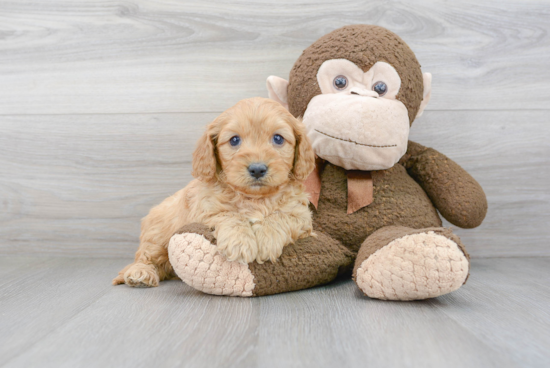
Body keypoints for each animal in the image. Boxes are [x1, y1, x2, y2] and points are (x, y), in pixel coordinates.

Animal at [113, 97, 314, 288]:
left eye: (278, 139)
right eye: (234, 140)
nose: (257, 169)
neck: (254, 198)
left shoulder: (302, 216)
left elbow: (282, 216)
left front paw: (267, 239)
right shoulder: (203, 210)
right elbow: (228, 215)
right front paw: (239, 242)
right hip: (157, 236)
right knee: (147, 257)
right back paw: (140, 273)